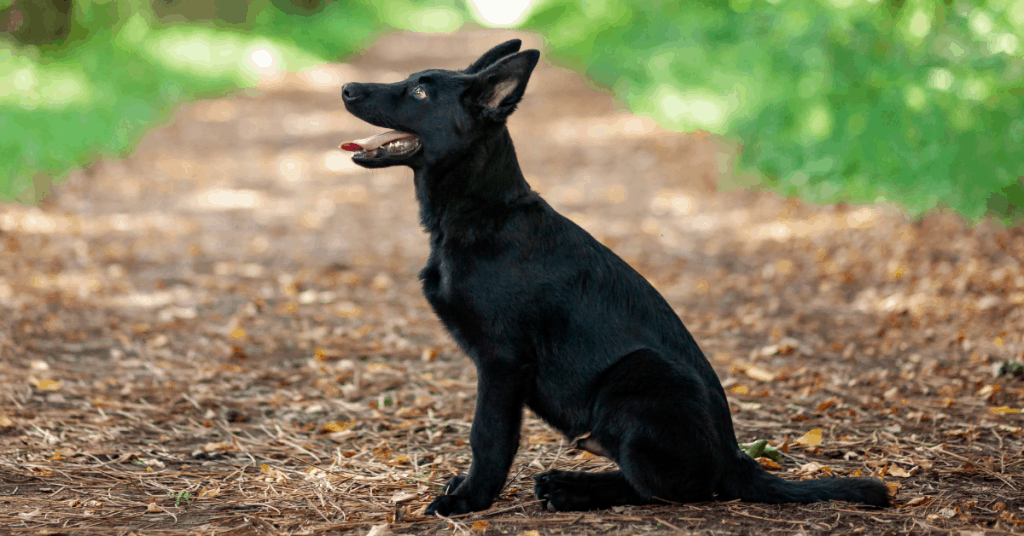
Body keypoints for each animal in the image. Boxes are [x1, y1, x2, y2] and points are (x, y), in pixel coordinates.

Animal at [342, 39, 888, 518]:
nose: (346, 87)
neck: (483, 212)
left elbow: (489, 436)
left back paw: (571, 488)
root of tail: (734, 457)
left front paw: (471, 500)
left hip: (639, 375)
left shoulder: (501, 360)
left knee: (670, 487)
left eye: (420, 92)